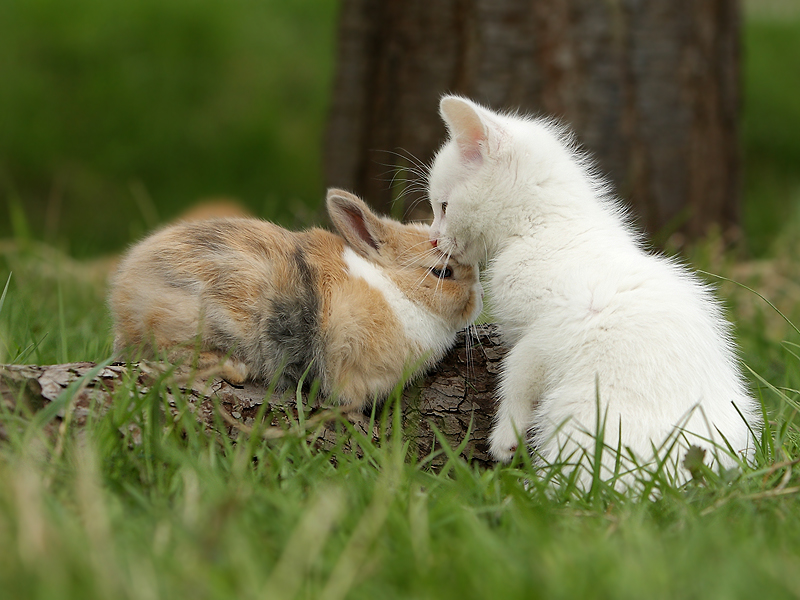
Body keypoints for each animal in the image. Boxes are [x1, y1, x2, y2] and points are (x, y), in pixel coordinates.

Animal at [428, 95, 760, 488]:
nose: (433, 239)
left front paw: (506, 436)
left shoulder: (555, 327)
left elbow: (518, 373)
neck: (541, 227)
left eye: (444, 206)